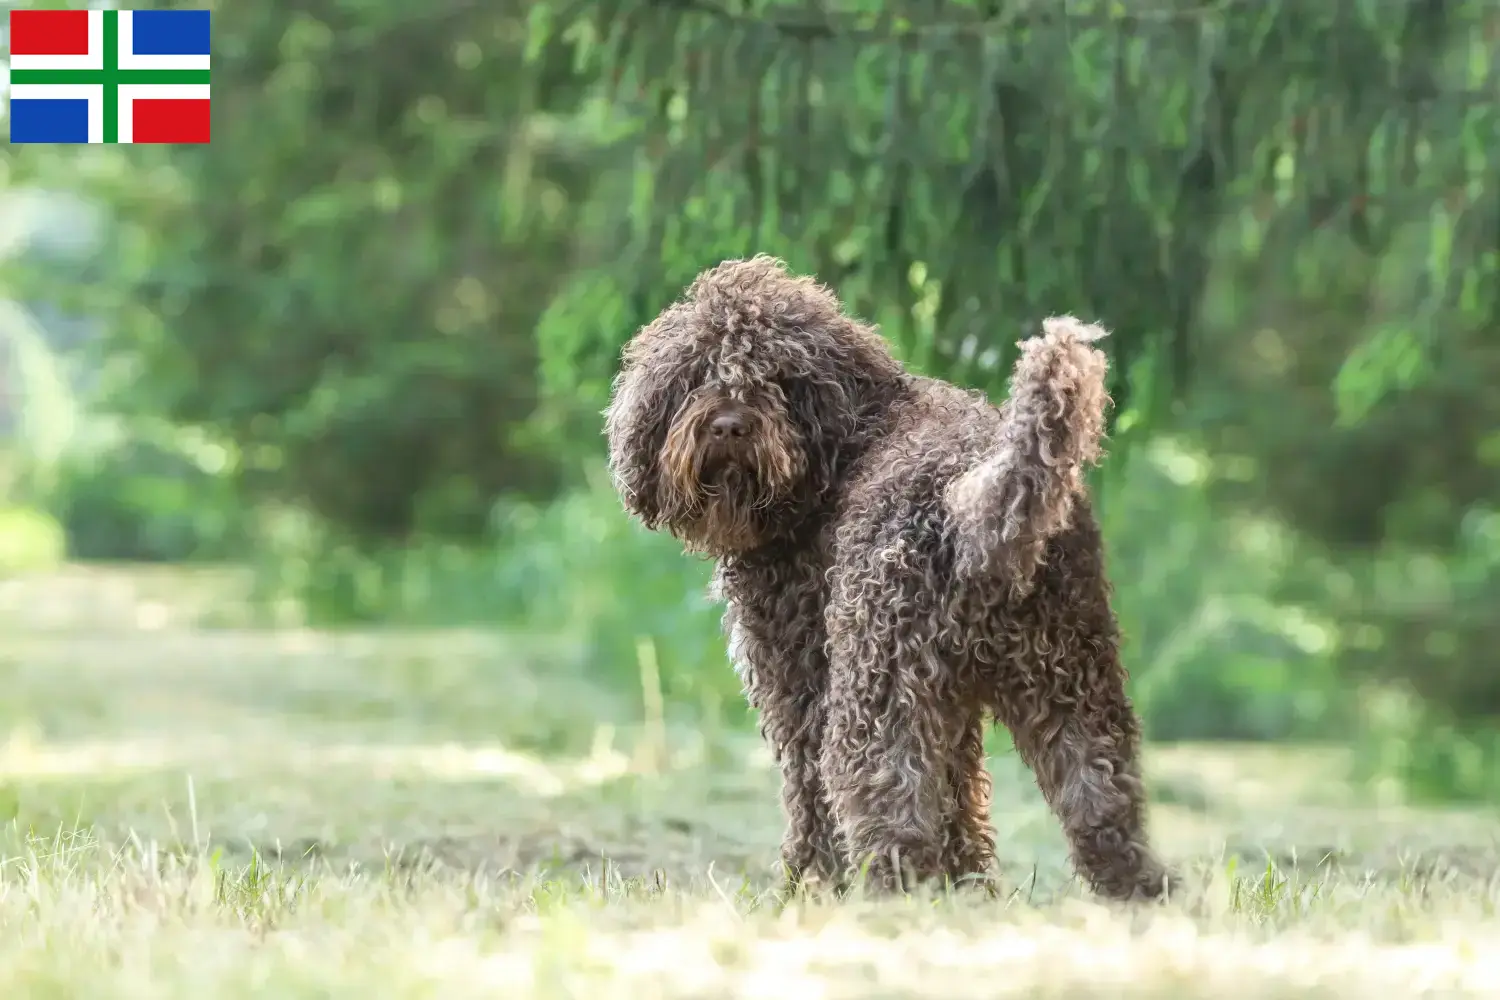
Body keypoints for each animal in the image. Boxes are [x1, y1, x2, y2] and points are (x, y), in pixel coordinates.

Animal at [603, 256, 1176, 899]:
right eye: (701, 374)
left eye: (774, 376)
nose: (727, 426)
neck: (839, 455)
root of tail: (976, 502)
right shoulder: (949, 701)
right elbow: (957, 796)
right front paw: (965, 886)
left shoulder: (801, 683)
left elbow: (812, 795)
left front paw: (811, 885)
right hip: (1069, 678)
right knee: (1102, 796)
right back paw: (1135, 896)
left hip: (878, 688)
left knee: (887, 799)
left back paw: (887, 898)